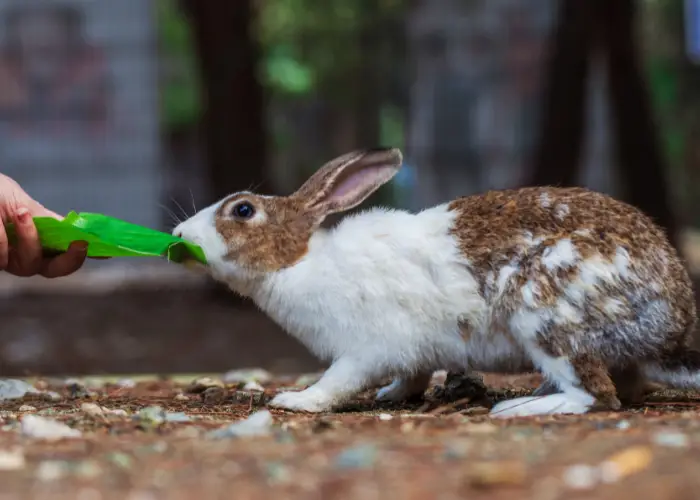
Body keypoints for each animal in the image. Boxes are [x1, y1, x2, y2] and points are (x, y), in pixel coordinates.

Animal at [171, 148, 700, 418]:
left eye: (243, 210)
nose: (180, 235)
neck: (298, 261)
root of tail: (670, 326)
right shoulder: (411, 354)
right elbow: (414, 374)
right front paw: (392, 397)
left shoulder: (363, 350)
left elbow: (338, 383)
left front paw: (296, 401)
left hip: (544, 313)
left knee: (597, 396)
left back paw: (522, 407)